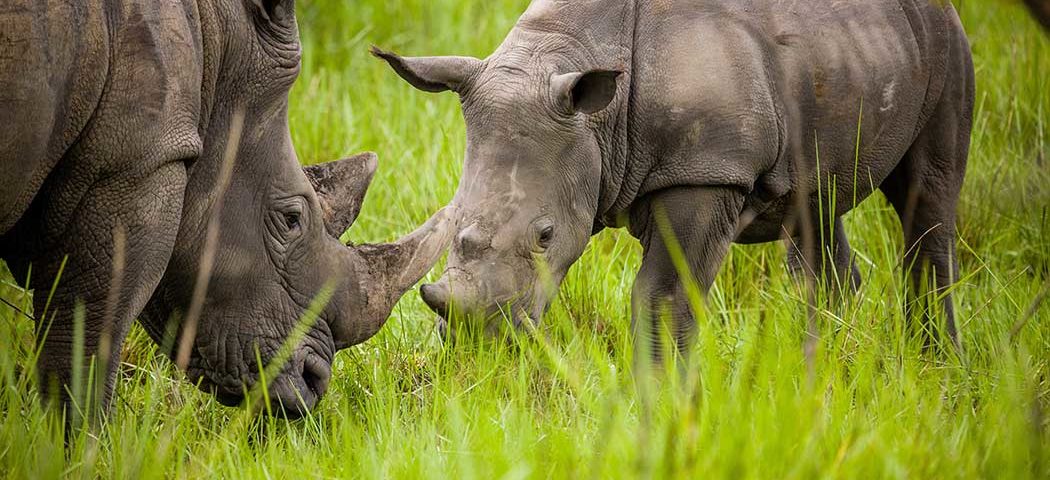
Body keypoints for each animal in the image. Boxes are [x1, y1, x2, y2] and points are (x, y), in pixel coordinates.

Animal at [0, 0, 454, 418]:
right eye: (291, 220)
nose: (314, 381)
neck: (214, 41)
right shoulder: (137, 162)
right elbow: (87, 343)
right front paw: (79, 446)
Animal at [375, 0, 974, 353]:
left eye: (545, 236)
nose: (477, 339)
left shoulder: (707, 173)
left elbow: (661, 298)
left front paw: (664, 405)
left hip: (949, 47)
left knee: (927, 198)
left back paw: (934, 364)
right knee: (815, 205)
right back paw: (824, 369)